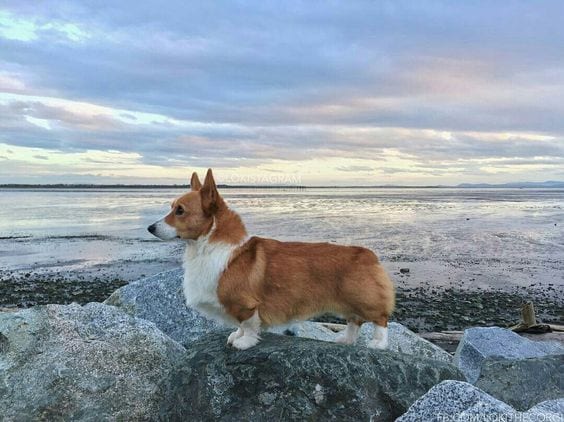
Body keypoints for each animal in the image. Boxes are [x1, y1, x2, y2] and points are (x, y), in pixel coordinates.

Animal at [150, 168, 396, 350]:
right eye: (172, 207)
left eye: (180, 210)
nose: (150, 228)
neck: (209, 246)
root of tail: (369, 254)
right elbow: (239, 326)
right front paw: (235, 335)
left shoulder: (246, 305)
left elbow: (248, 325)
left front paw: (244, 342)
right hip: (348, 303)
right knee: (355, 321)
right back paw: (346, 340)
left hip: (364, 300)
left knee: (380, 320)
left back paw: (378, 344)